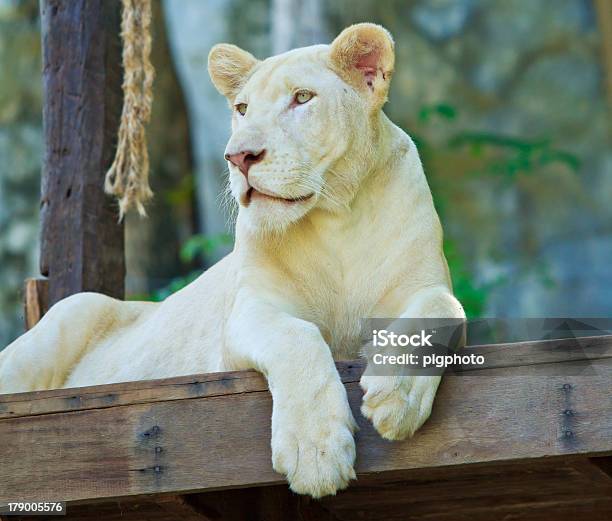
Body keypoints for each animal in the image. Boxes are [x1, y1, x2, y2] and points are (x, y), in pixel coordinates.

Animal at [0, 23, 464, 496]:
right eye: (242, 108)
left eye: (302, 98)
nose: (239, 157)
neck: (337, 220)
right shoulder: (248, 313)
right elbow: (297, 338)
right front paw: (316, 452)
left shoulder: (427, 286)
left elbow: (443, 310)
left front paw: (396, 399)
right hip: (71, 313)